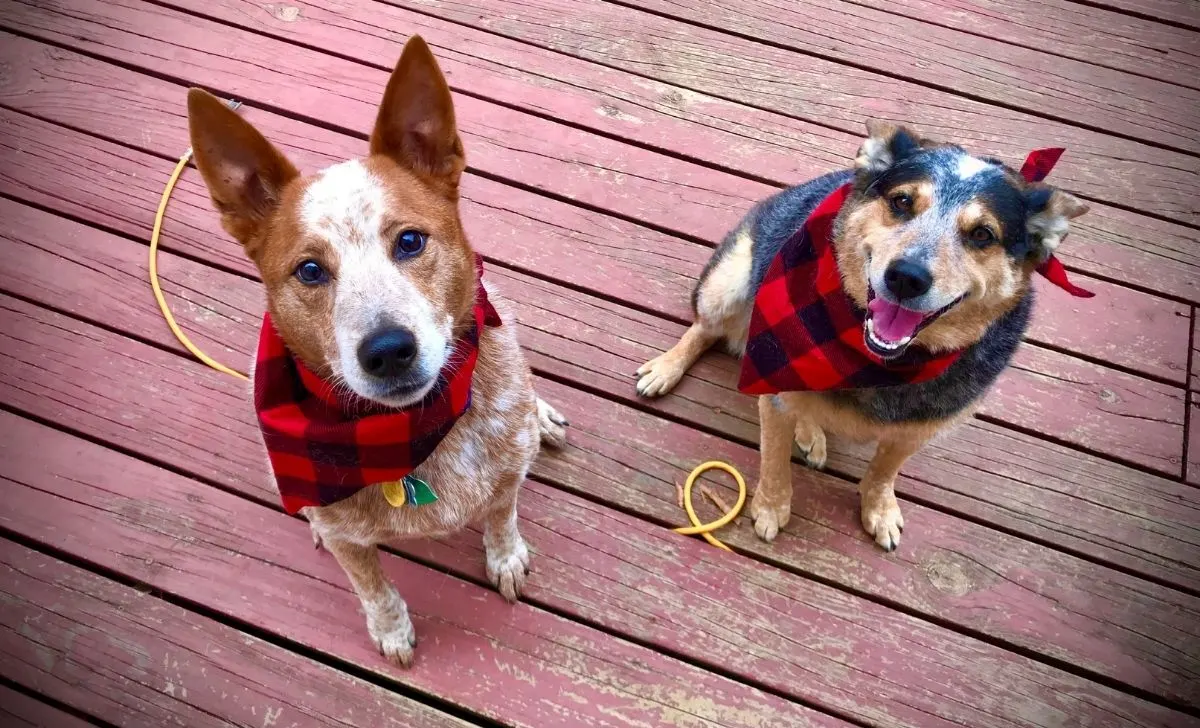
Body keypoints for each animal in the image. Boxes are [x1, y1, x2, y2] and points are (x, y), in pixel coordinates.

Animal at [186, 38, 566, 666]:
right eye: (310, 270)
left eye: (410, 240)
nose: (388, 350)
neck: (412, 431)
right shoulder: (349, 539)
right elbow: (372, 585)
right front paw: (391, 630)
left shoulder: (508, 470)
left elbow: (502, 514)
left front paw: (506, 556)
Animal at [638, 121, 1089, 551]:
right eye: (902, 202)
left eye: (983, 234)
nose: (906, 277)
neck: (877, 363)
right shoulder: (775, 390)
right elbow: (774, 461)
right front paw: (770, 507)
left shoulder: (917, 429)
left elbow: (884, 472)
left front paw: (880, 510)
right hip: (729, 281)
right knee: (703, 328)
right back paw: (666, 369)